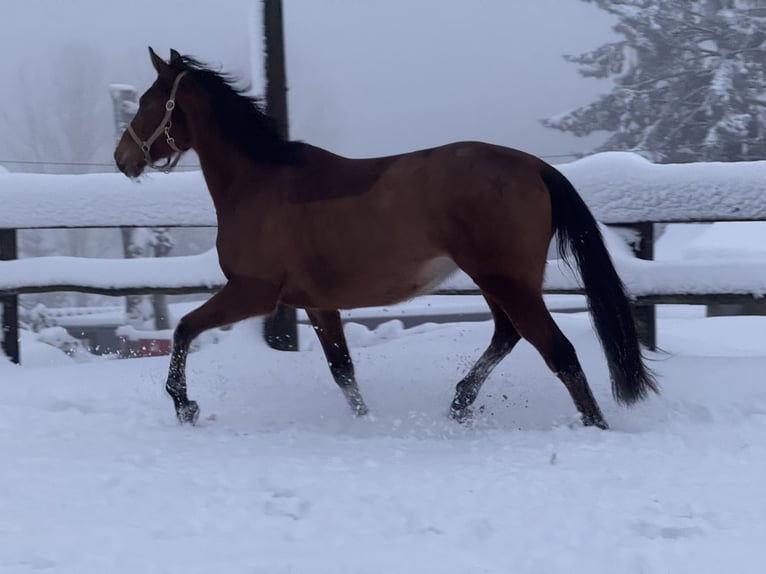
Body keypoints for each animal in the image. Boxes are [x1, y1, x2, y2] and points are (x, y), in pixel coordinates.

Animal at [114, 48, 660, 428]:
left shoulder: (254, 291)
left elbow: (184, 329)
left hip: (505, 280)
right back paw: (459, 403)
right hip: (499, 281)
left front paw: (185, 405)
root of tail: (537, 167)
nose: (123, 158)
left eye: (146, 102)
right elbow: (343, 371)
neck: (259, 182)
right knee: (508, 335)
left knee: (556, 350)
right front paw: (366, 422)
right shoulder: (317, 304)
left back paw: (593, 426)